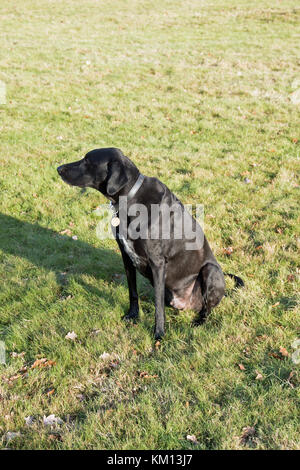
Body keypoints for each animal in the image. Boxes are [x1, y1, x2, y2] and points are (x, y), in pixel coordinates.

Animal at [57, 147, 243, 338]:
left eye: (87, 161)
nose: (58, 169)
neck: (129, 200)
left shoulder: (157, 262)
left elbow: (158, 305)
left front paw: (159, 333)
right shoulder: (126, 256)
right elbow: (133, 292)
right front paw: (133, 315)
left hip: (210, 270)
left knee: (207, 308)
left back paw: (199, 321)